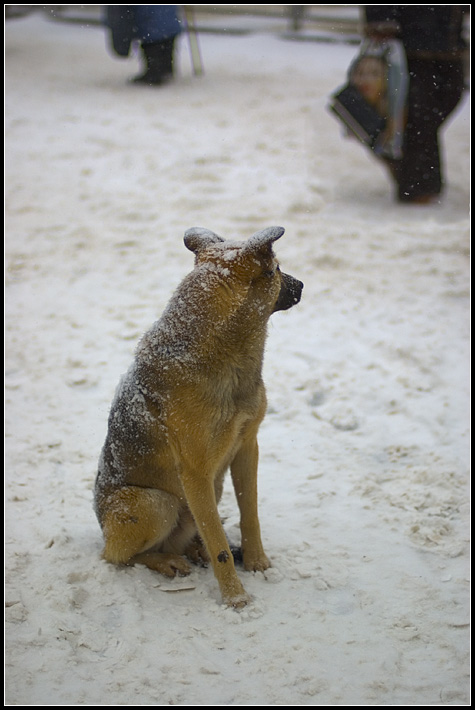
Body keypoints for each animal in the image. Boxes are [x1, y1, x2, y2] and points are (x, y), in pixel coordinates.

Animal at [94, 225, 304, 608]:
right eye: (278, 269)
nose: (302, 285)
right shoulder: (195, 474)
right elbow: (219, 541)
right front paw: (236, 599)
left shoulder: (247, 446)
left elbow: (249, 515)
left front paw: (257, 563)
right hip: (154, 503)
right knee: (117, 557)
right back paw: (165, 561)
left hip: (210, 488)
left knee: (193, 536)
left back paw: (192, 550)